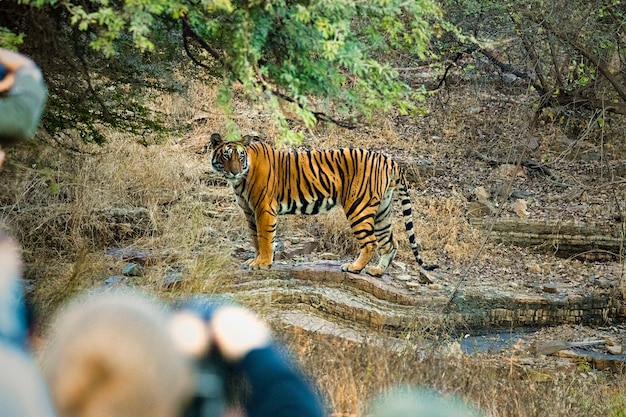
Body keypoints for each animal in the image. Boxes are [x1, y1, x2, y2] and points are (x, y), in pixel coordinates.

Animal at [207, 132, 436, 276]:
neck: (241, 180)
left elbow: (264, 238)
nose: (235, 171)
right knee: (390, 242)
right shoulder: (249, 212)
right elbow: (255, 239)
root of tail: (389, 159)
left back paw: (354, 268)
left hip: (359, 207)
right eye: (226, 156)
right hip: (382, 211)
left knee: (370, 242)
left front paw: (263, 263)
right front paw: (255, 260)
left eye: (240, 156)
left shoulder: (263, 209)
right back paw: (377, 271)